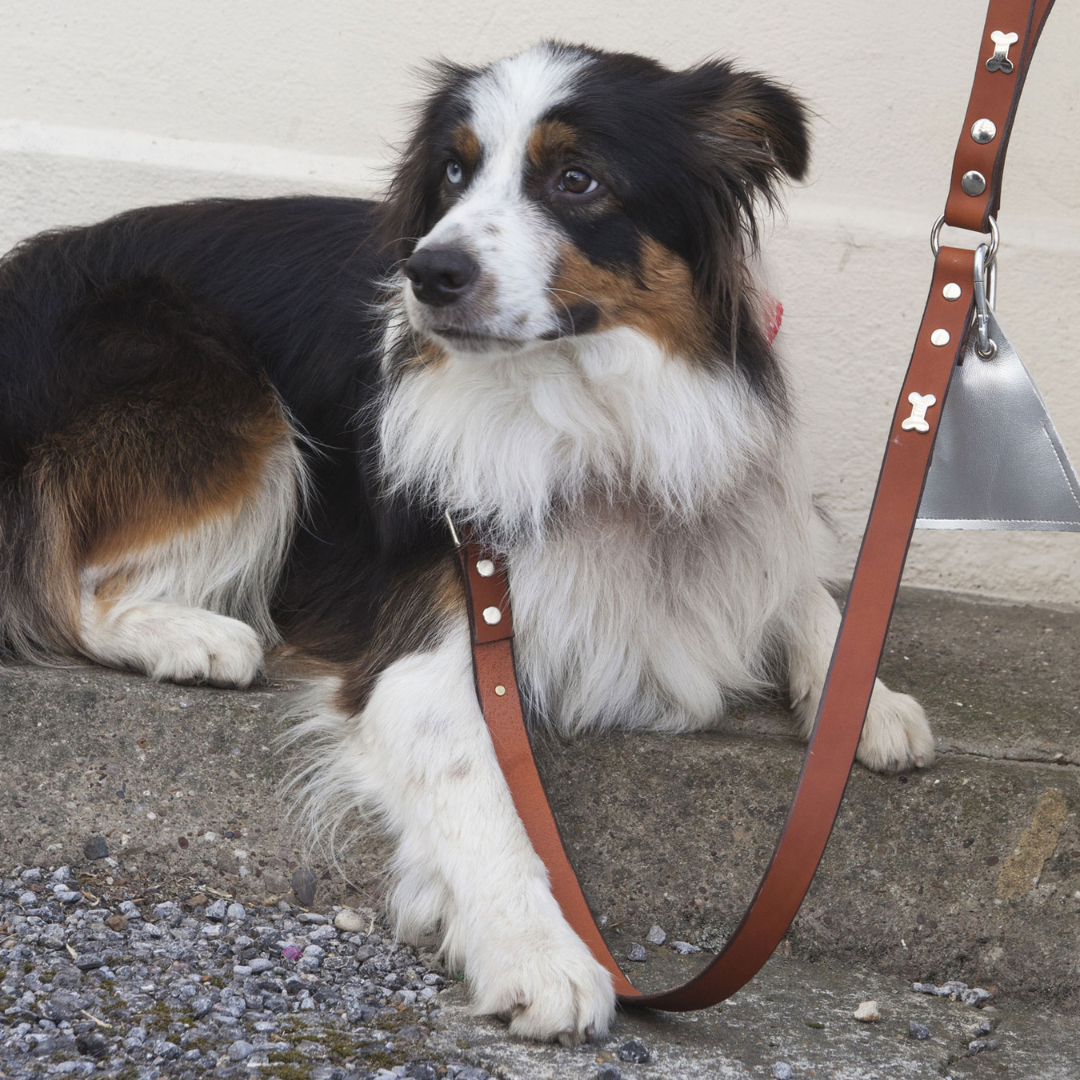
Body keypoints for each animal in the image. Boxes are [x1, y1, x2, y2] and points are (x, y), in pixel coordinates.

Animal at [0, 44, 933, 1045]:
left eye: (576, 179)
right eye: (453, 172)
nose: (428, 271)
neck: (586, 412)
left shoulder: (727, 500)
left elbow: (793, 580)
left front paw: (865, 700)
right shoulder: (439, 623)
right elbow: (479, 791)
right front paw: (540, 956)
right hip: (227, 397)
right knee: (57, 586)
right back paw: (198, 637)